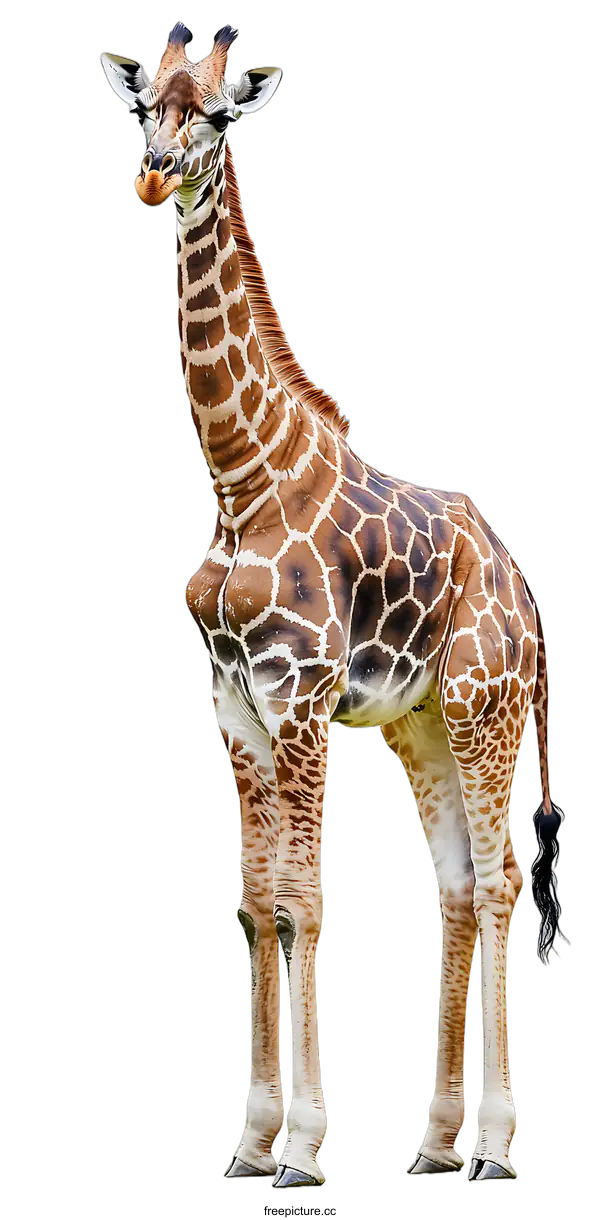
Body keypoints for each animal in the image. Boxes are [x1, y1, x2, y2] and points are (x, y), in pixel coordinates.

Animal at [100, 22, 568, 1190]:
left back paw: (497, 1148)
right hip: (423, 723)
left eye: (218, 116)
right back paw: (436, 1145)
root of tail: (530, 597)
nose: (154, 174)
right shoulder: (234, 706)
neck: (240, 479)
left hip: (487, 714)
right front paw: (250, 1141)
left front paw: (305, 1150)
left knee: (500, 883)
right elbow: (257, 902)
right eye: (148, 104)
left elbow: (308, 900)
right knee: (457, 885)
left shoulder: (303, 703)